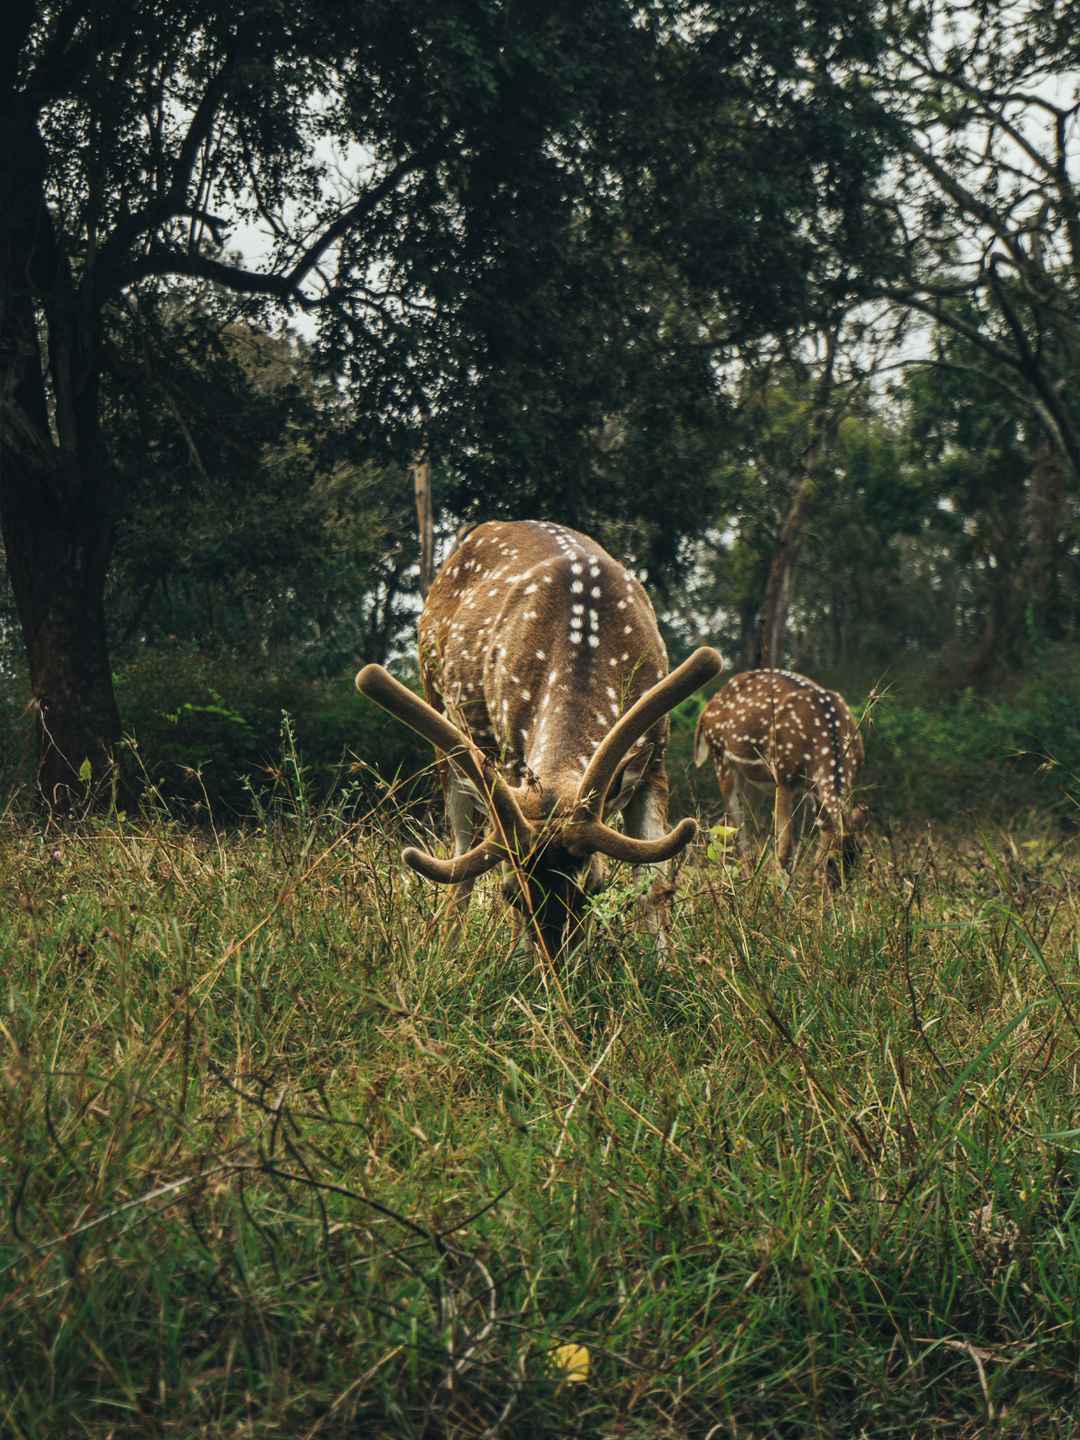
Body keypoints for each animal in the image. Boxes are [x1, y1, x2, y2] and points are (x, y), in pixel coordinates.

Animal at [357, 521, 728, 956]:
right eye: (512, 895)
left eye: (593, 888)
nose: (557, 965)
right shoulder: (511, 754)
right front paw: (520, 957)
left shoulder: (655, 756)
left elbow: (653, 882)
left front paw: (663, 962)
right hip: (443, 716)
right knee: (461, 856)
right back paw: (447, 949)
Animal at [694, 668, 869, 881]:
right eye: (831, 862)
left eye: (857, 861)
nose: (837, 888)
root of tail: (706, 710)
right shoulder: (784, 774)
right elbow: (785, 848)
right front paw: (781, 887)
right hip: (722, 758)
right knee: (739, 829)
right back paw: (746, 879)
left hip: (753, 781)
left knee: (730, 824)